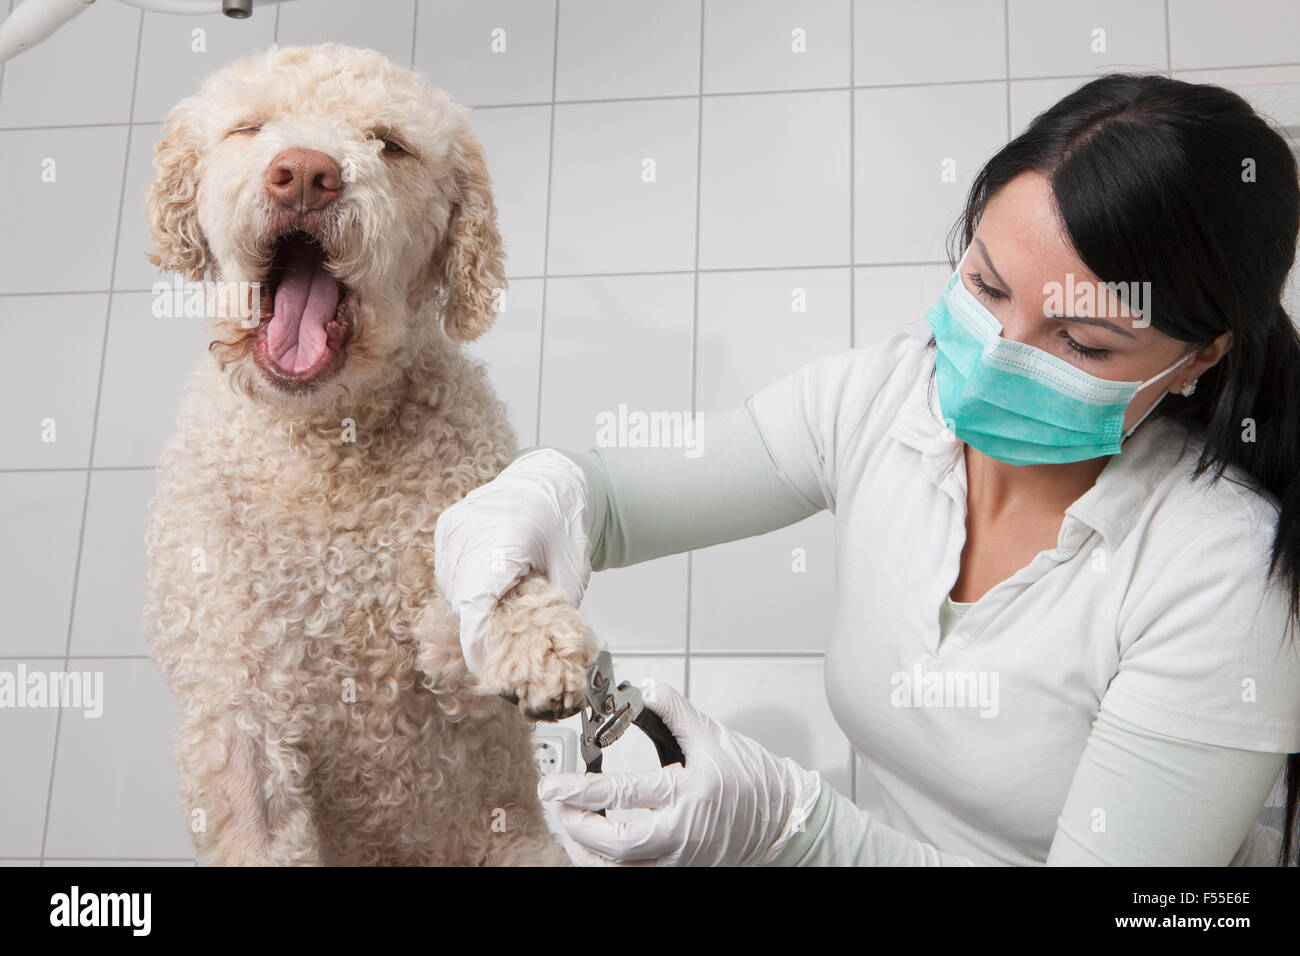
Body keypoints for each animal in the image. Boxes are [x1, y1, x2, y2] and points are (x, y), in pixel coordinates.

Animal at [139, 44, 595, 868]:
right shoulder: (238, 705)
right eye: (249, 128)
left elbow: (474, 597)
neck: (326, 449)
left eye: (391, 144)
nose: (305, 173)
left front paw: (527, 632)